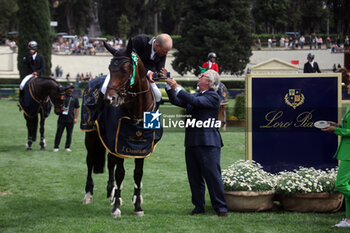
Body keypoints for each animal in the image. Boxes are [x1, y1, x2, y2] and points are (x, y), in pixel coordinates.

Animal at [82, 39, 160, 219]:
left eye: (125, 70)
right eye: (110, 68)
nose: (110, 99)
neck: (136, 111)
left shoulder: (140, 147)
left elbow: (137, 174)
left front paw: (137, 206)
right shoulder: (120, 143)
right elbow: (120, 174)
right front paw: (116, 208)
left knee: (110, 162)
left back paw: (111, 192)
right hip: (91, 136)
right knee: (90, 161)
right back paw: (88, 194)